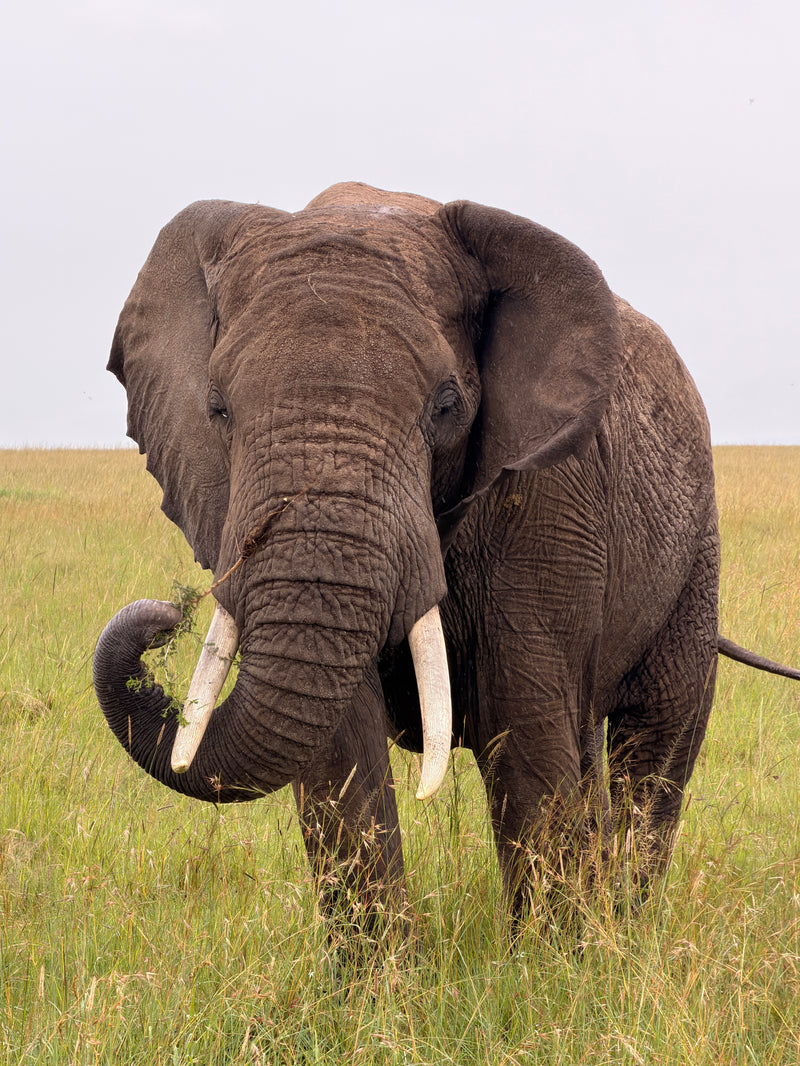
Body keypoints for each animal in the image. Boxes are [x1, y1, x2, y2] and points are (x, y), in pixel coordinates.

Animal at [93, 182, 800, 928]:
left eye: (447, 405)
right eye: (218, 408)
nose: (160, 618)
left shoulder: (550, 495)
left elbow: (526, 730)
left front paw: (549, 960)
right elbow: (342, 755)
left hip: (697, 546)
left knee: (655, 745)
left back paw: (625, 933)